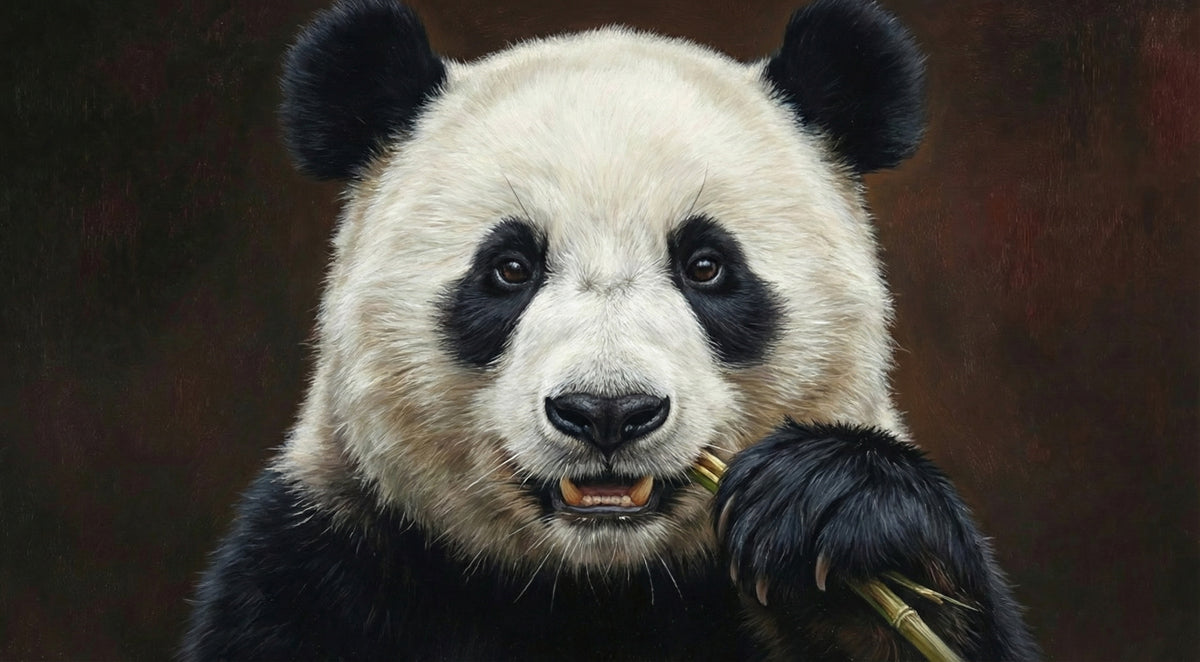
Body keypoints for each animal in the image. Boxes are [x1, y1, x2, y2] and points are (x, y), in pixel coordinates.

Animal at [184, 0, 1038, 659]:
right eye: (509, 267)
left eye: (706, 266)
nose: (607, 412)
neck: (601, 587)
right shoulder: (326, 565)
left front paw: (837, 517)